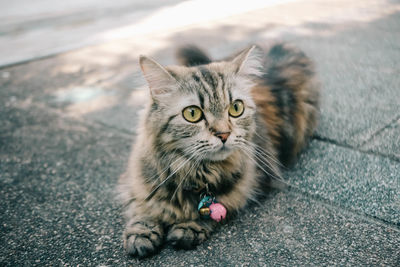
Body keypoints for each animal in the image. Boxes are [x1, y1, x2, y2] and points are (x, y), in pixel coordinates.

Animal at [118, 43, 318, 258]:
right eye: (192, 113)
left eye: (236, 108)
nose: (224, 134)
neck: (195, 173)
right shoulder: (136, 181)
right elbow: (142, 208)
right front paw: (142, 234)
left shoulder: (247, 185)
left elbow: (216, 210)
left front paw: (188, 226)